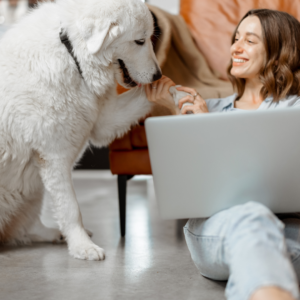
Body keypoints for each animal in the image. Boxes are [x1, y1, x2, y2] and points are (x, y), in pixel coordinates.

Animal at [0, 0, 162, 260]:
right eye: (140, 41)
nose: (158, 74)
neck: (72, 54)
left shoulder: (105, 119)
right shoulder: (54, 158)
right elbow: (71, 208)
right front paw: (82, 247)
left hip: (31, 190)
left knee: (26, 228)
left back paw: (55, 234)